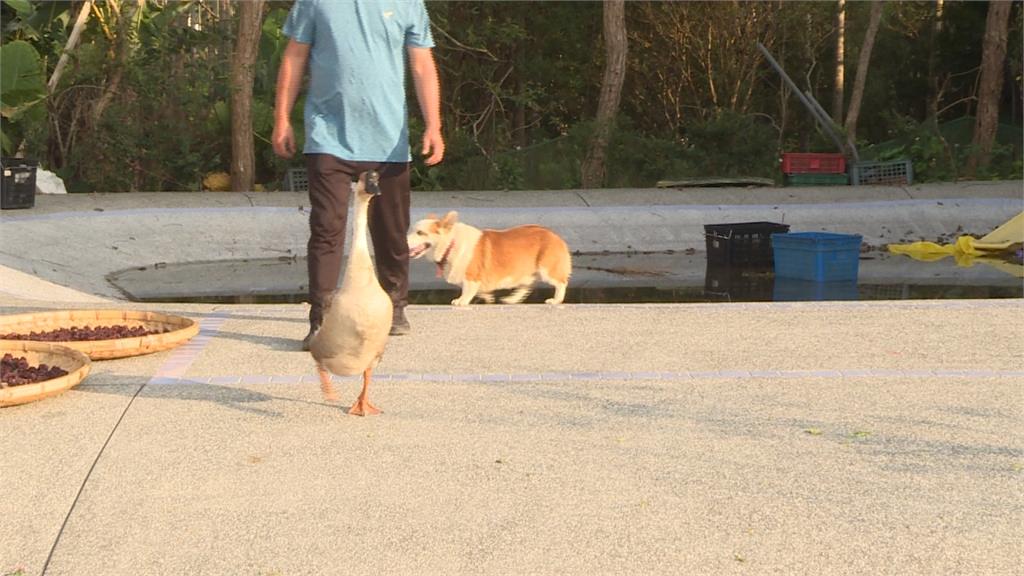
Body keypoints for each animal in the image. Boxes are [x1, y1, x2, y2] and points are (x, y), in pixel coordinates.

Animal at [405, 211, 569, 305]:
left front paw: (461, 301)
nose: (404, 241)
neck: (450, 244)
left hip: (546, 269)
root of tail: (555, 236)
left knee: (561, 283)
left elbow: (467, 290)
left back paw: (556, 300)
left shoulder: (471, 277)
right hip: (525, 273)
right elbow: (481, 291)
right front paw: (488, 298)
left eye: (420, 233)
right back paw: (511, 299)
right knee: (527, 285)